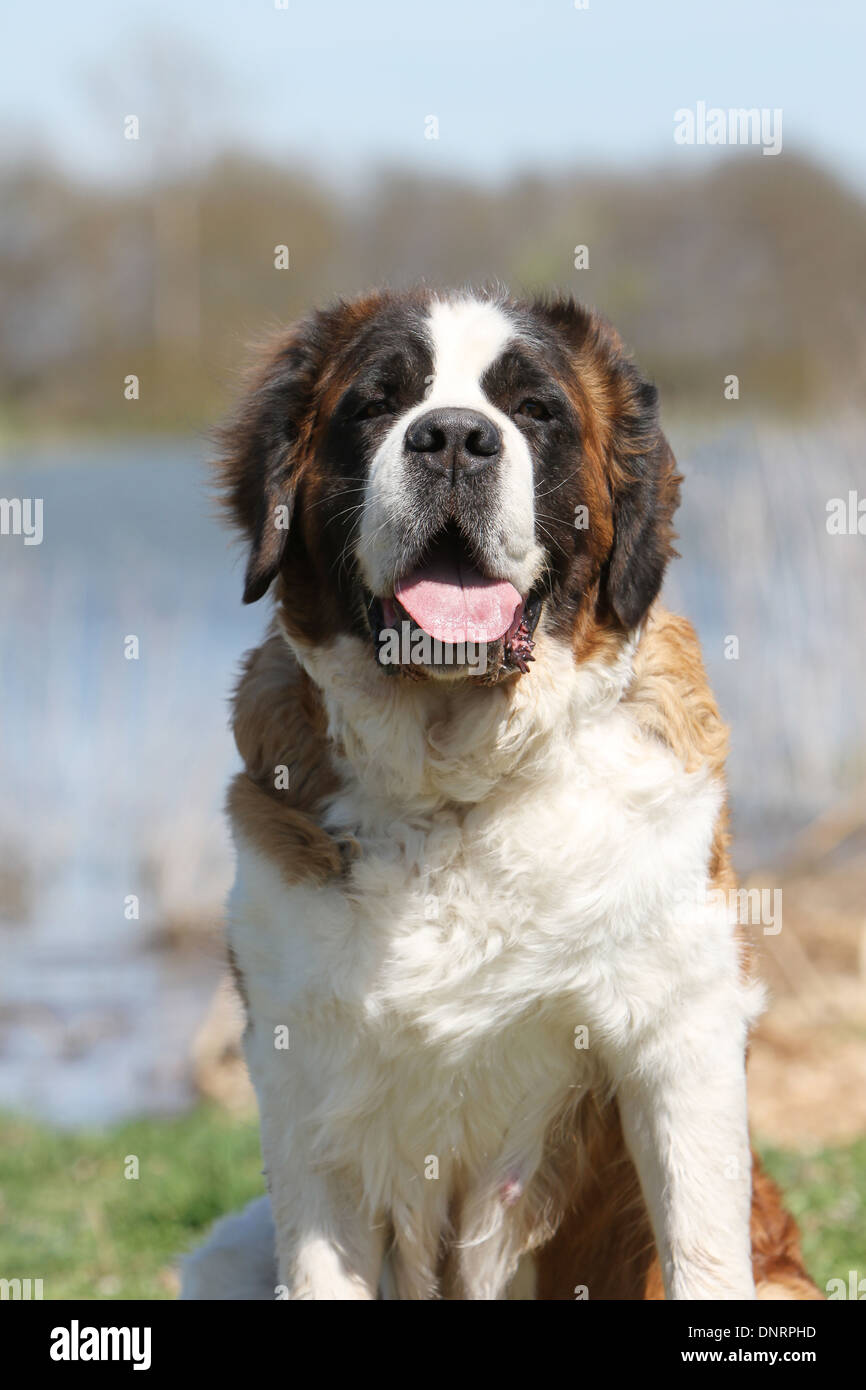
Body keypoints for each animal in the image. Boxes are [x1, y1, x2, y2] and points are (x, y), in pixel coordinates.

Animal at [180, 284, 817, 1301]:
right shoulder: (304, 1075)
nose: (450, 437)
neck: (459, 793)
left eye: (535, 411)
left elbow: (702, 1248)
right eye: (376, 403)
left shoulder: (680, 1039)